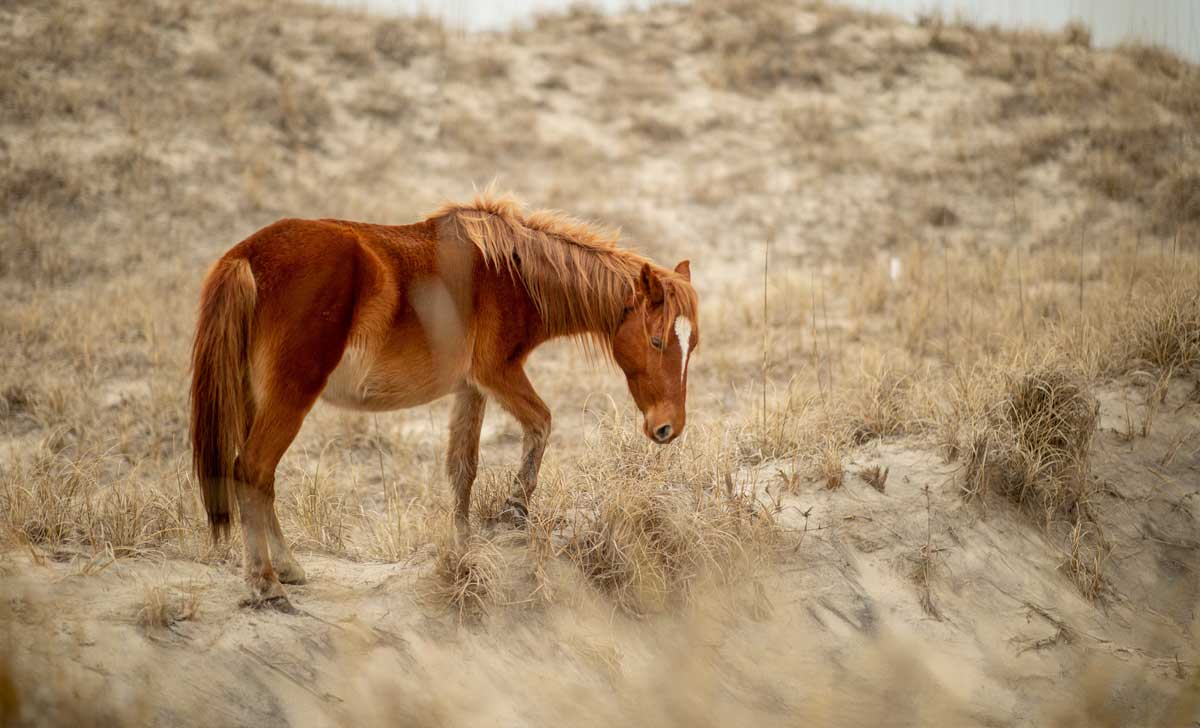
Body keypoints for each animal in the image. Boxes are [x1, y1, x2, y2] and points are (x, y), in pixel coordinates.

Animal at [190, 190, 700, 606]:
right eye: (657, 341)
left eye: (691, 345)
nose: (668, 427)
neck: (510, 272)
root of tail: (246, 255)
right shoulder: (498, 374)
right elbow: (541, 423)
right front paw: (513, 511)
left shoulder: (471, 389)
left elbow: (462, 468)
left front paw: (463, 547)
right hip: (290, 397)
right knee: (253, 470)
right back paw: (266, 584)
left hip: (255, 399)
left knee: (261, 478)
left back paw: (287, 568)